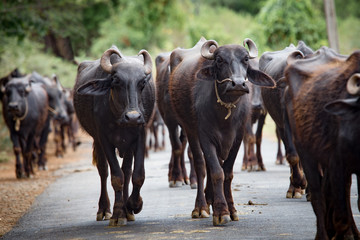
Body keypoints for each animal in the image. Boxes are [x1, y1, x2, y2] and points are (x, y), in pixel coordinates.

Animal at [74, 46, 155, 226]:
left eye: (142, 82)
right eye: (116, 81)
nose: (133, 117)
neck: (119, 118)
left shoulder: (139, 135)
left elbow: (137, 174)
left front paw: (133, 205)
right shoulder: (104, 139)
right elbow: (116, 176)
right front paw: (118, 214)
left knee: (127, 171)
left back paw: (128, 211)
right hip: (97, 142)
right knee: (103, 171)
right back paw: (104, 210)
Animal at [169, 38, 276, 225]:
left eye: (245, 59)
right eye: (219, 60)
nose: (238, 83)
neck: (224, 113)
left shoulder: (237, 137)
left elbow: (227, 173)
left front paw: (231, 209)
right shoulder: (205, 137)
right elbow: (216, 172)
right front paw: (221, 211)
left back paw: (209, 199)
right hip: (190, 131)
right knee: (200, 165)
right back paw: (201, 207)